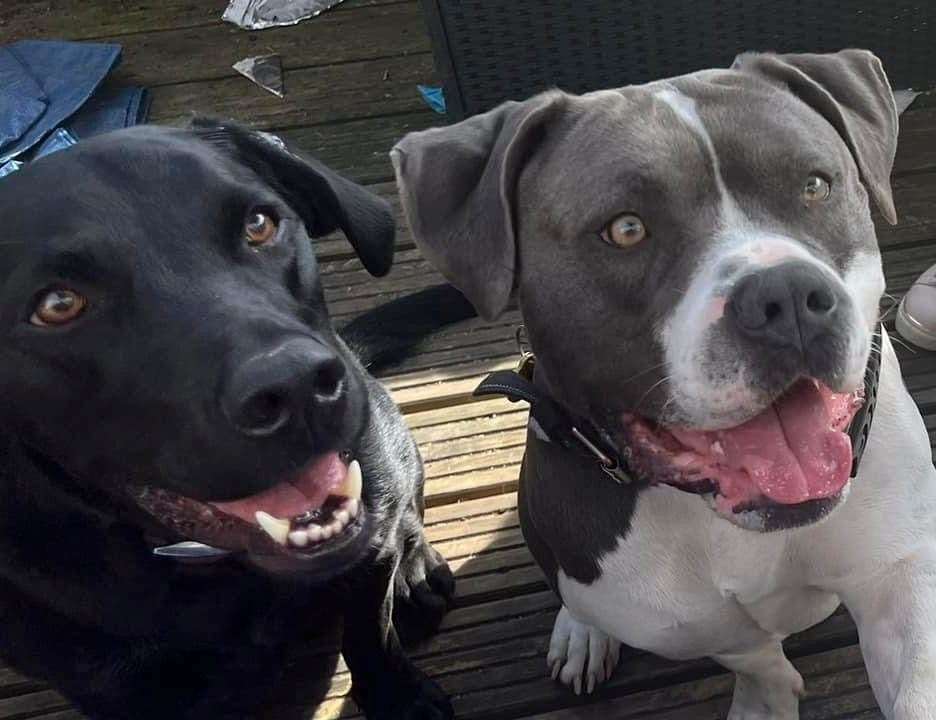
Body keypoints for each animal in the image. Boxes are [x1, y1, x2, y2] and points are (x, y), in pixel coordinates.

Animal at [0, 121, 468, 716]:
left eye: (259, 224)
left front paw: (399, 698)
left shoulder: (366, 550)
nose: (296, 386)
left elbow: (370, 633)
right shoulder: (107, 681)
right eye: (58, 305)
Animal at [390, 52, 936, 720]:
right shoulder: (684, 623)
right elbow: (758, 662)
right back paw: (581, 632)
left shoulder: (899, 571)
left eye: (815, 186)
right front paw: (764, 702)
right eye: (625, 229)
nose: (786, 296)